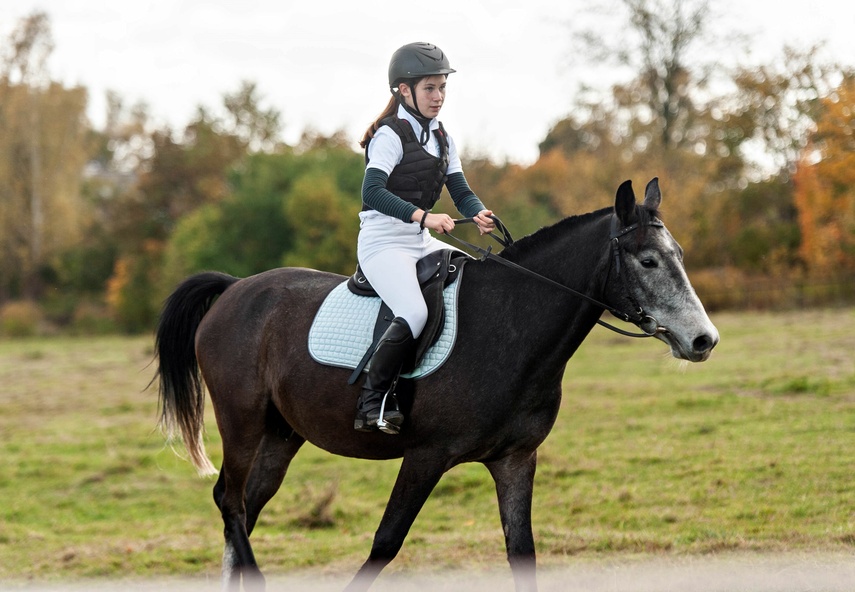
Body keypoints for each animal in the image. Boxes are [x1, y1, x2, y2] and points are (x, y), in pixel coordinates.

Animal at [155, 178, 724, 588]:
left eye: (677, 255)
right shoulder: (426, 456)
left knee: (244, 509)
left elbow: (522, 552)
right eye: (648, 260)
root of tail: (236, 289)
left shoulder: (515, 459)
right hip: (242, 422)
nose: (704, 340)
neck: (507, 324)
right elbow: (385, 543)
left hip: (281, 435)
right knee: (230, 501)